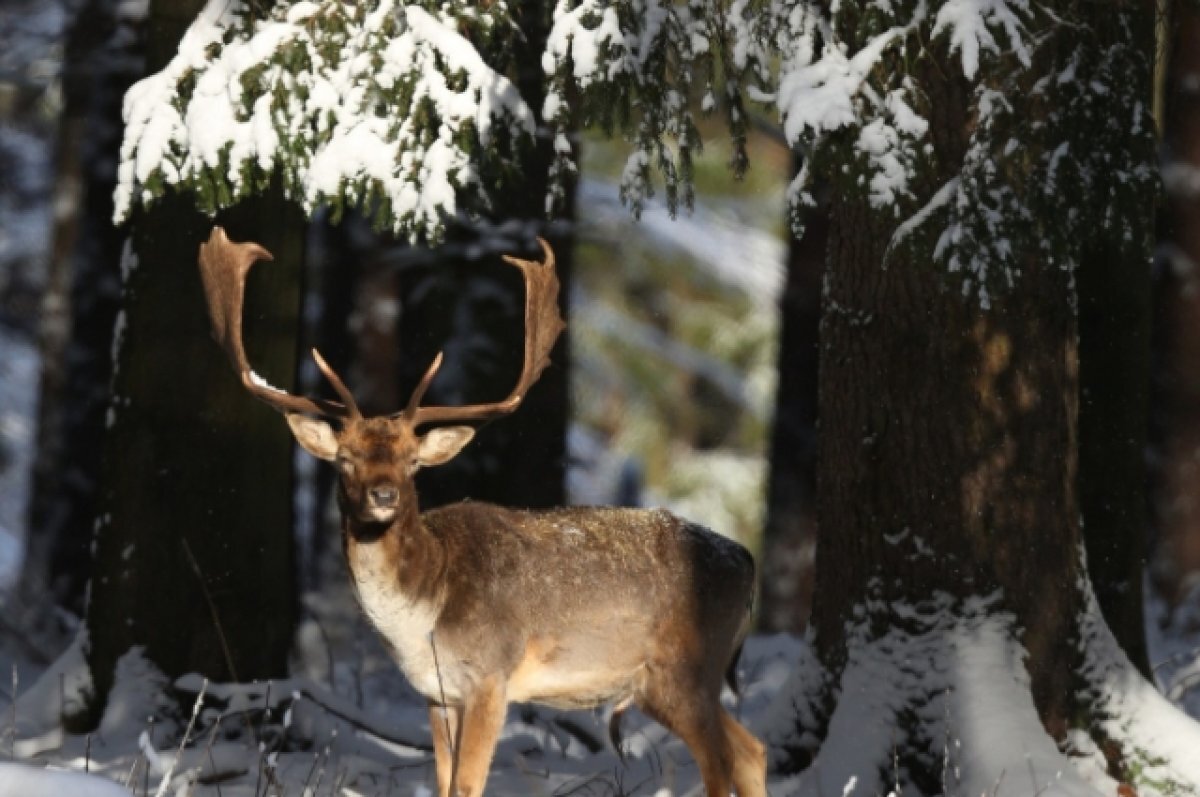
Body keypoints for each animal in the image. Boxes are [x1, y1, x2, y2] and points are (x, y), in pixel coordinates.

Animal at [193, 225, 763, 797]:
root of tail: (746, 560)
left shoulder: (492, 674)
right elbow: (444, 782)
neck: (423, 615)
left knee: (721, 762)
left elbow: (468, 785)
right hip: (663, 683)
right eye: (346, 459)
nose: (384, 495)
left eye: (411, 461)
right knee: (751, 749)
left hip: (686, 667)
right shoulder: (437, 692)